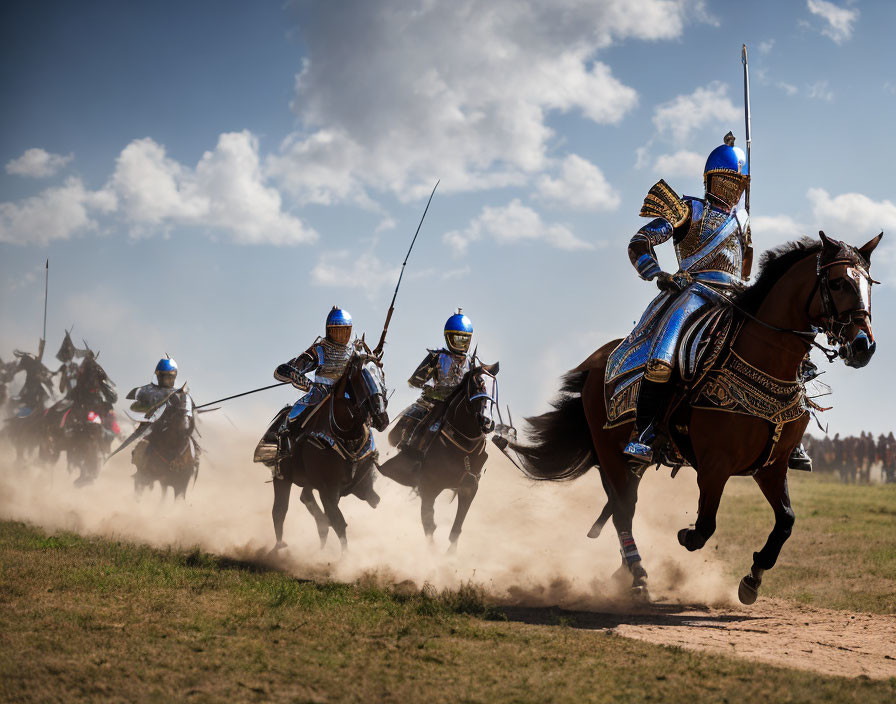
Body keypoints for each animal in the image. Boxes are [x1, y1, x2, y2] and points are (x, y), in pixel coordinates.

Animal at [270, 354, 388, 552]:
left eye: (382, 376)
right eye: (362, 377)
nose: (382, 417)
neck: (345, 433)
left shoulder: (342, 488)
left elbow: (332, 517)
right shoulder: (327, 488)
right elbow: (338, 522)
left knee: (305, 498)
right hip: (282, 477)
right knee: (280, 510)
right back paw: (279, 547)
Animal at [378, 364, 500, 556]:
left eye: (494, 387)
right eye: (477, 384)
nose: (487, 421)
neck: (462, 445)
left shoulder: (469, 487)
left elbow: (456, 528)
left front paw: (450, 557)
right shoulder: (429, 488)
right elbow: (429, 525)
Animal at [512, 232, 880, 604]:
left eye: (869, 284)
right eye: (837, 282)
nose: (864, 346)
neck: (764, 362)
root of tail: (596, 363)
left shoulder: (772, 466)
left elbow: (786, 521)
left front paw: (753, 578)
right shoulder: (715, 464)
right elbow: (704, 528)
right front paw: (686, 537)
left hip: (630, 463)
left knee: (619, 505)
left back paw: (625, 571)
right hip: (610, 451)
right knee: (624, 509)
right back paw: (638, 575)